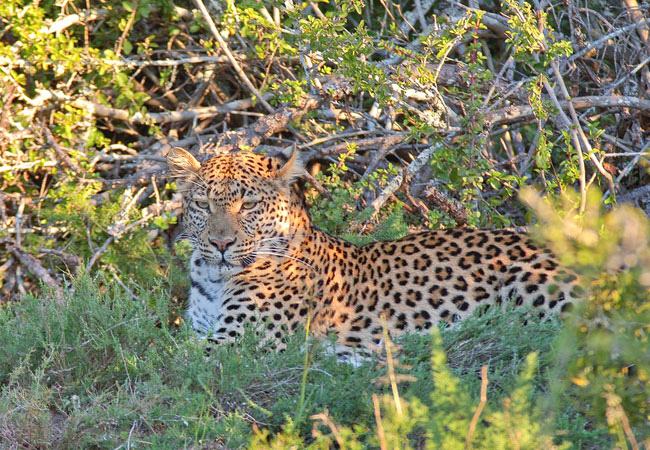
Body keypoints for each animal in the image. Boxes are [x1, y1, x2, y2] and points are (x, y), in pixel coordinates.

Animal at [168, 148, 584, 362]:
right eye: (203, 204)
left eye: (249, 204)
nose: (221, 243)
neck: (214, 279)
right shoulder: (203, 329)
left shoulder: (238, 342)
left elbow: (168, 356)